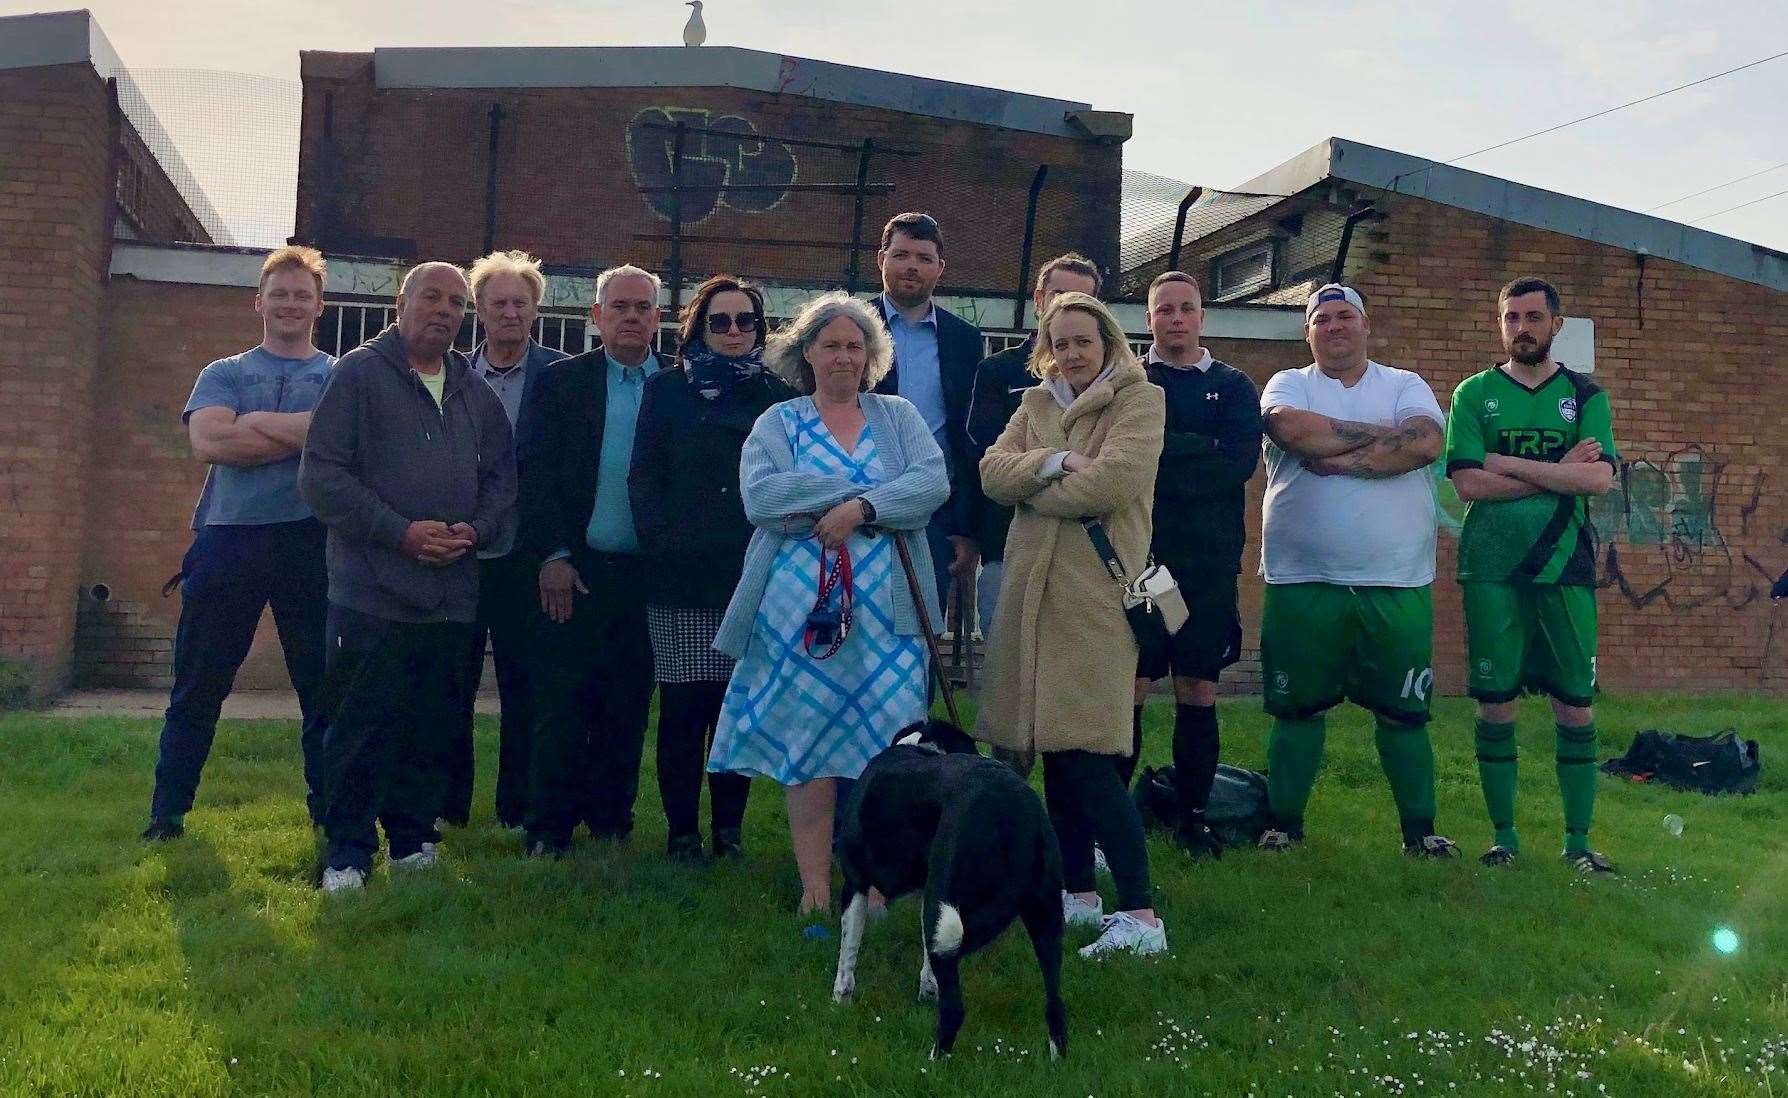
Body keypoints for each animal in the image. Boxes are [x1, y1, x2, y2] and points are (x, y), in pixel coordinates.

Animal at [829, 718, 1065, 1065]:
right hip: (1045, 916)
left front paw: (839, 1001)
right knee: (1055, 1006)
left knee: (954, 1009)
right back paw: (1056, 1061)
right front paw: (927, 991)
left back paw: (932, 1062)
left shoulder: (856, 883)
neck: (920, 748)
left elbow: (848, 950)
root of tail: (1014, 812)